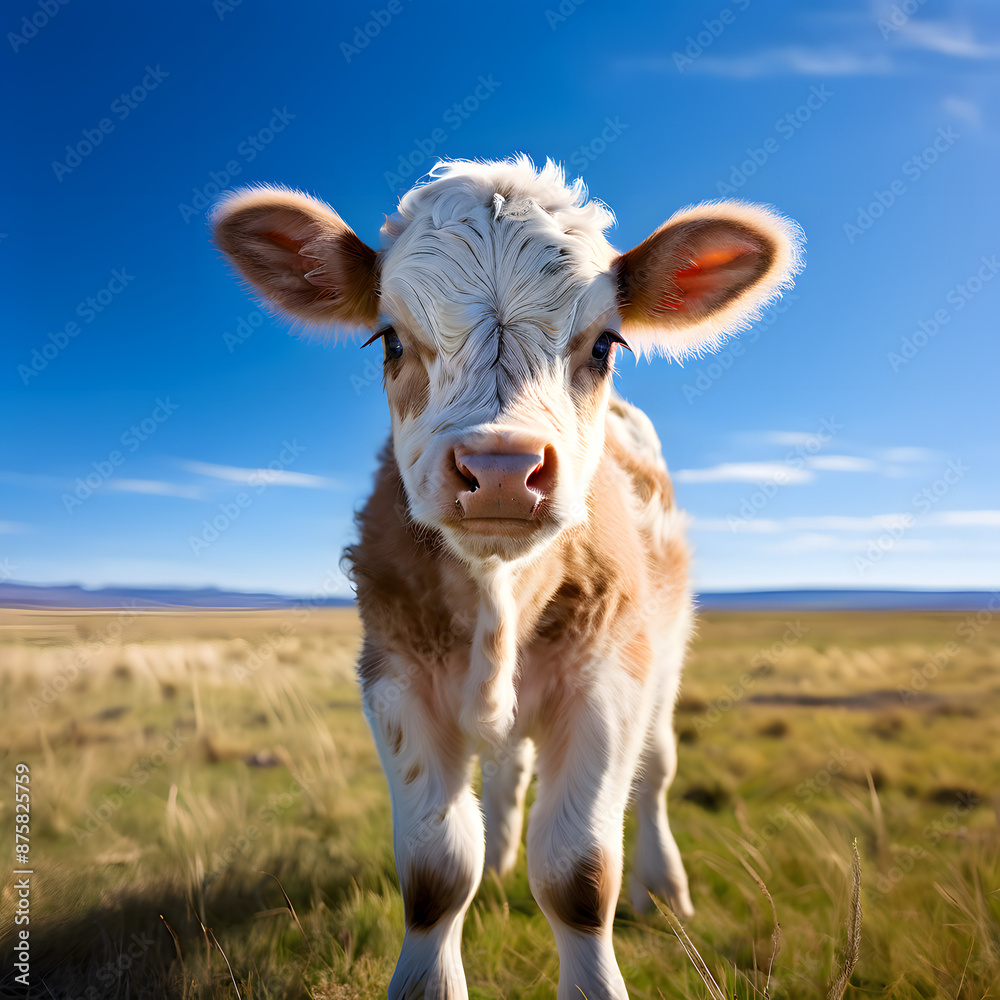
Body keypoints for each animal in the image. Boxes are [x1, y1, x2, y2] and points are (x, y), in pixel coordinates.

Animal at [213, 158, 804, 1000]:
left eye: (605, 345)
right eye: (390, 339)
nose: (499, 469)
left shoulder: (607, 681)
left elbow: (579, 877)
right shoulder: (394, 680)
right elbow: (435, 873)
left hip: (664, 656)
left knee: (656, 773)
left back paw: (666, 887)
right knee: (506, 770)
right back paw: (498, 859)